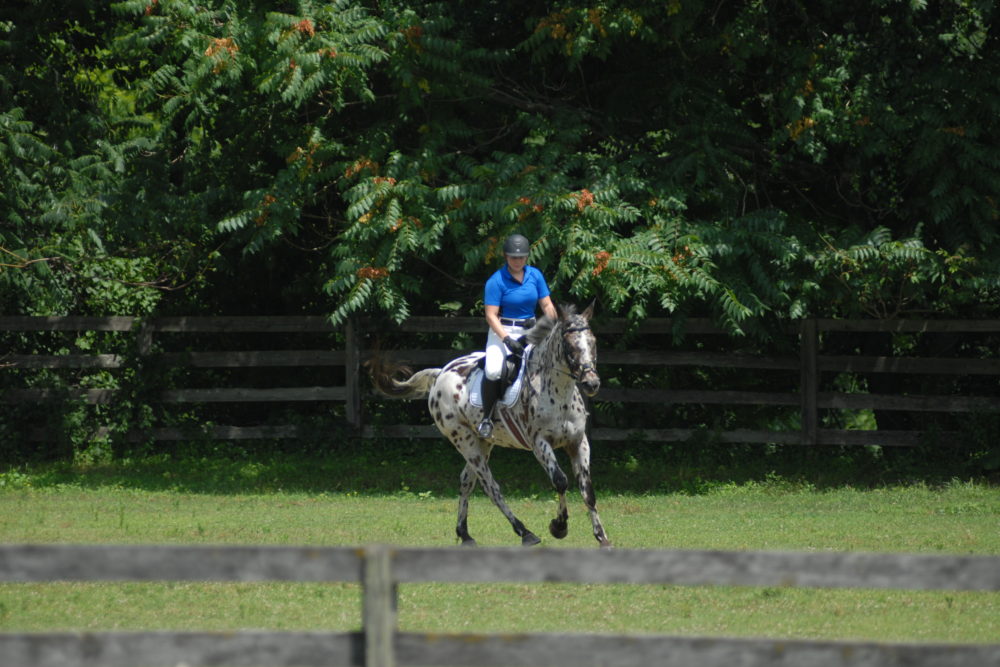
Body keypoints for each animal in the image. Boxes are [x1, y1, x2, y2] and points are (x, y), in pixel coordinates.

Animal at [372, 302, 612, 548]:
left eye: (593, 342)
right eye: (569, 345)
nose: (591, 383)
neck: (558, 392)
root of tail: (441, 374)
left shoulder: (578, 442)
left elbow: (588, 490)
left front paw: (602, 537)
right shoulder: (539, 443)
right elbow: (560, 481)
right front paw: (559, 526)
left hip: (482, 442)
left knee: (467, 481)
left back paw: (465, 534)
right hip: (464, 440)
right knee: (490, 486)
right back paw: (524, 532)